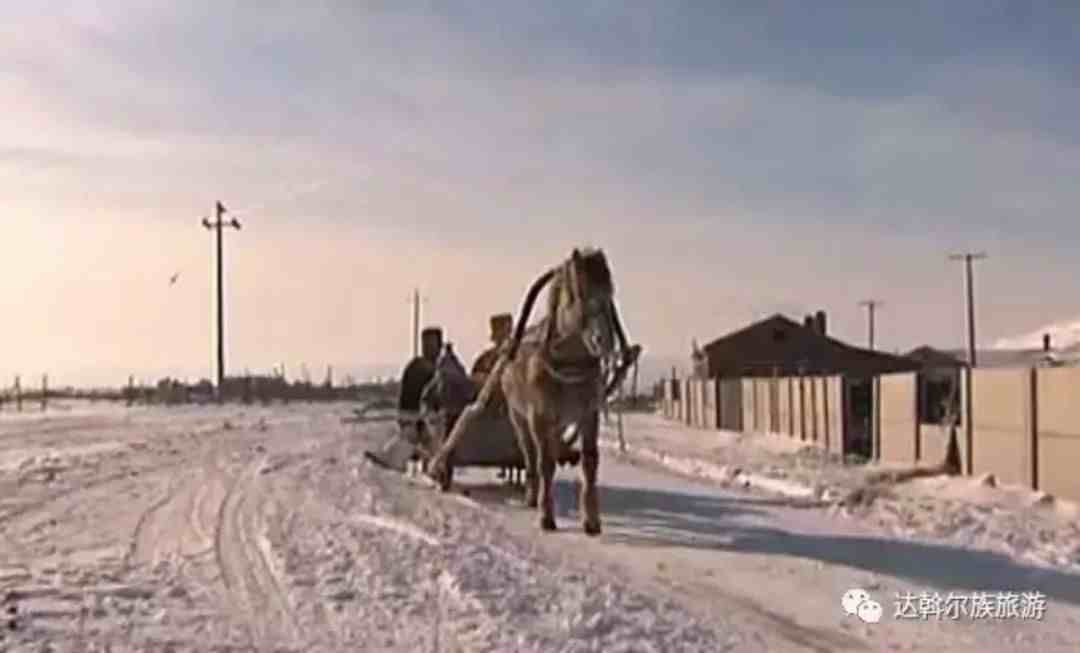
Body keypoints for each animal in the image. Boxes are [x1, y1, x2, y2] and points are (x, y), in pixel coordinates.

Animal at [425, 247, 635, 533]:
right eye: (577, 293)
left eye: (609, 292)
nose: (604, 341)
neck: (567, 363)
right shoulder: (539, 415)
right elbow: (544, 462)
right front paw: (546, 516)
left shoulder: (588, 413)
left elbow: (590, 462)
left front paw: (591, 520)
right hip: (520, 417)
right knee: (529, 453)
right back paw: (531, 496)